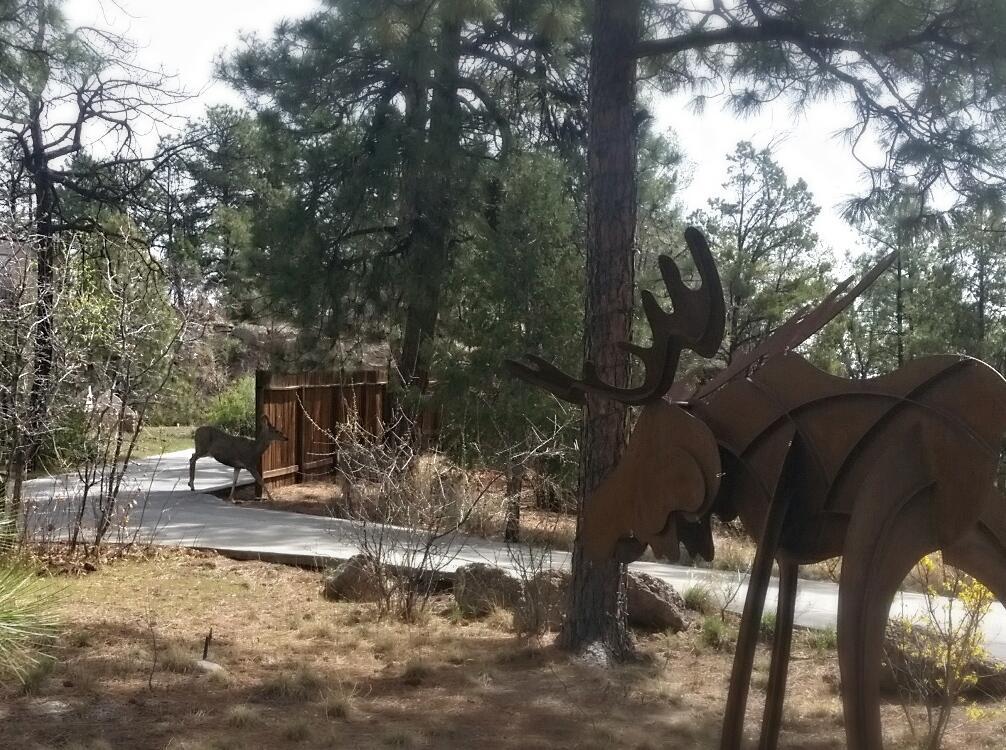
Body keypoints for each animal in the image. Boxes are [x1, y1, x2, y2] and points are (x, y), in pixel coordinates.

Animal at [507, 226, 1006, 747]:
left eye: (640, 454)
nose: (594, 526)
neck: (736, 450)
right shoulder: (789, 548)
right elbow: (775, 664)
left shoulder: (774, 523)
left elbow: (747, 655)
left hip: (893, 508)